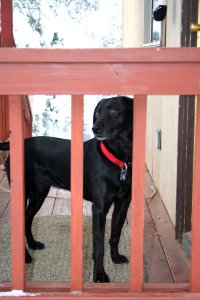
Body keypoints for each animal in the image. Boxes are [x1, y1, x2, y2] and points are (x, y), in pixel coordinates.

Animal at [1, 95, 134, 282]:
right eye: (98, 113)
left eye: (114, 110)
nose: (95, 129)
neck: (118, 158)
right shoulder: (99, 208)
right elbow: (99, 245)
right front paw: (99, 274)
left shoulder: (123, 203)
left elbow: (115, 234)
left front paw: (115, 258)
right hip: (24, 193)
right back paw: (25, 257)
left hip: (39, 194)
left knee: (27, 220)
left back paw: (33, 245)